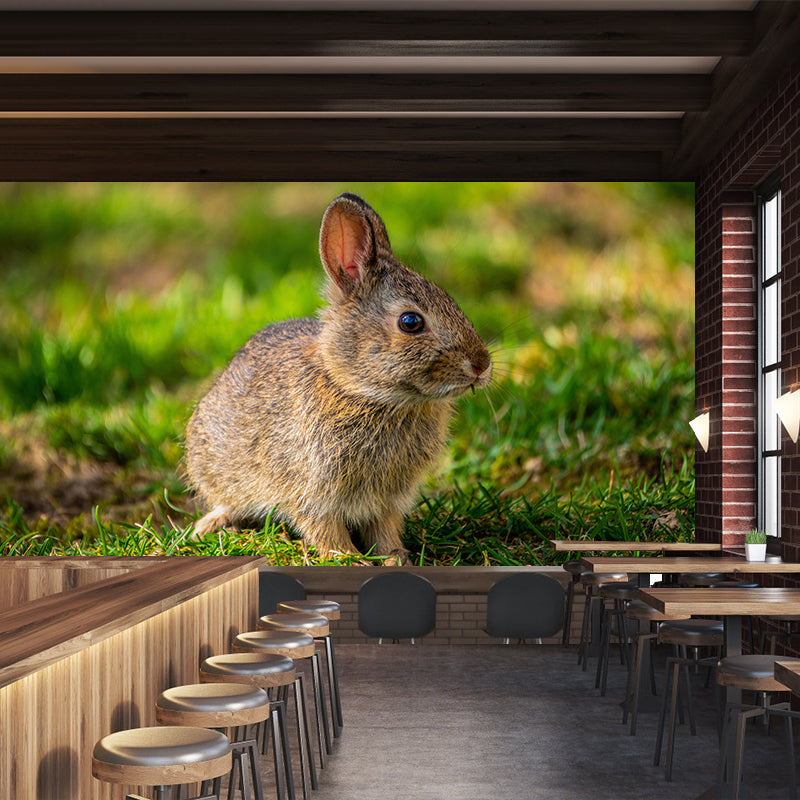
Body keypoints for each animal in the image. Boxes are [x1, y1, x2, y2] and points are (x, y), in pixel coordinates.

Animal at [184, 192, 492, 563]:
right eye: (410, 322)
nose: (482, 365)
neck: (362, 391)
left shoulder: (386, 500)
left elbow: (384, 529)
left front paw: (395, 556)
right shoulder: (311, 491)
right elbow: (324, 529)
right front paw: (348, 558)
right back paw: (211, 526)